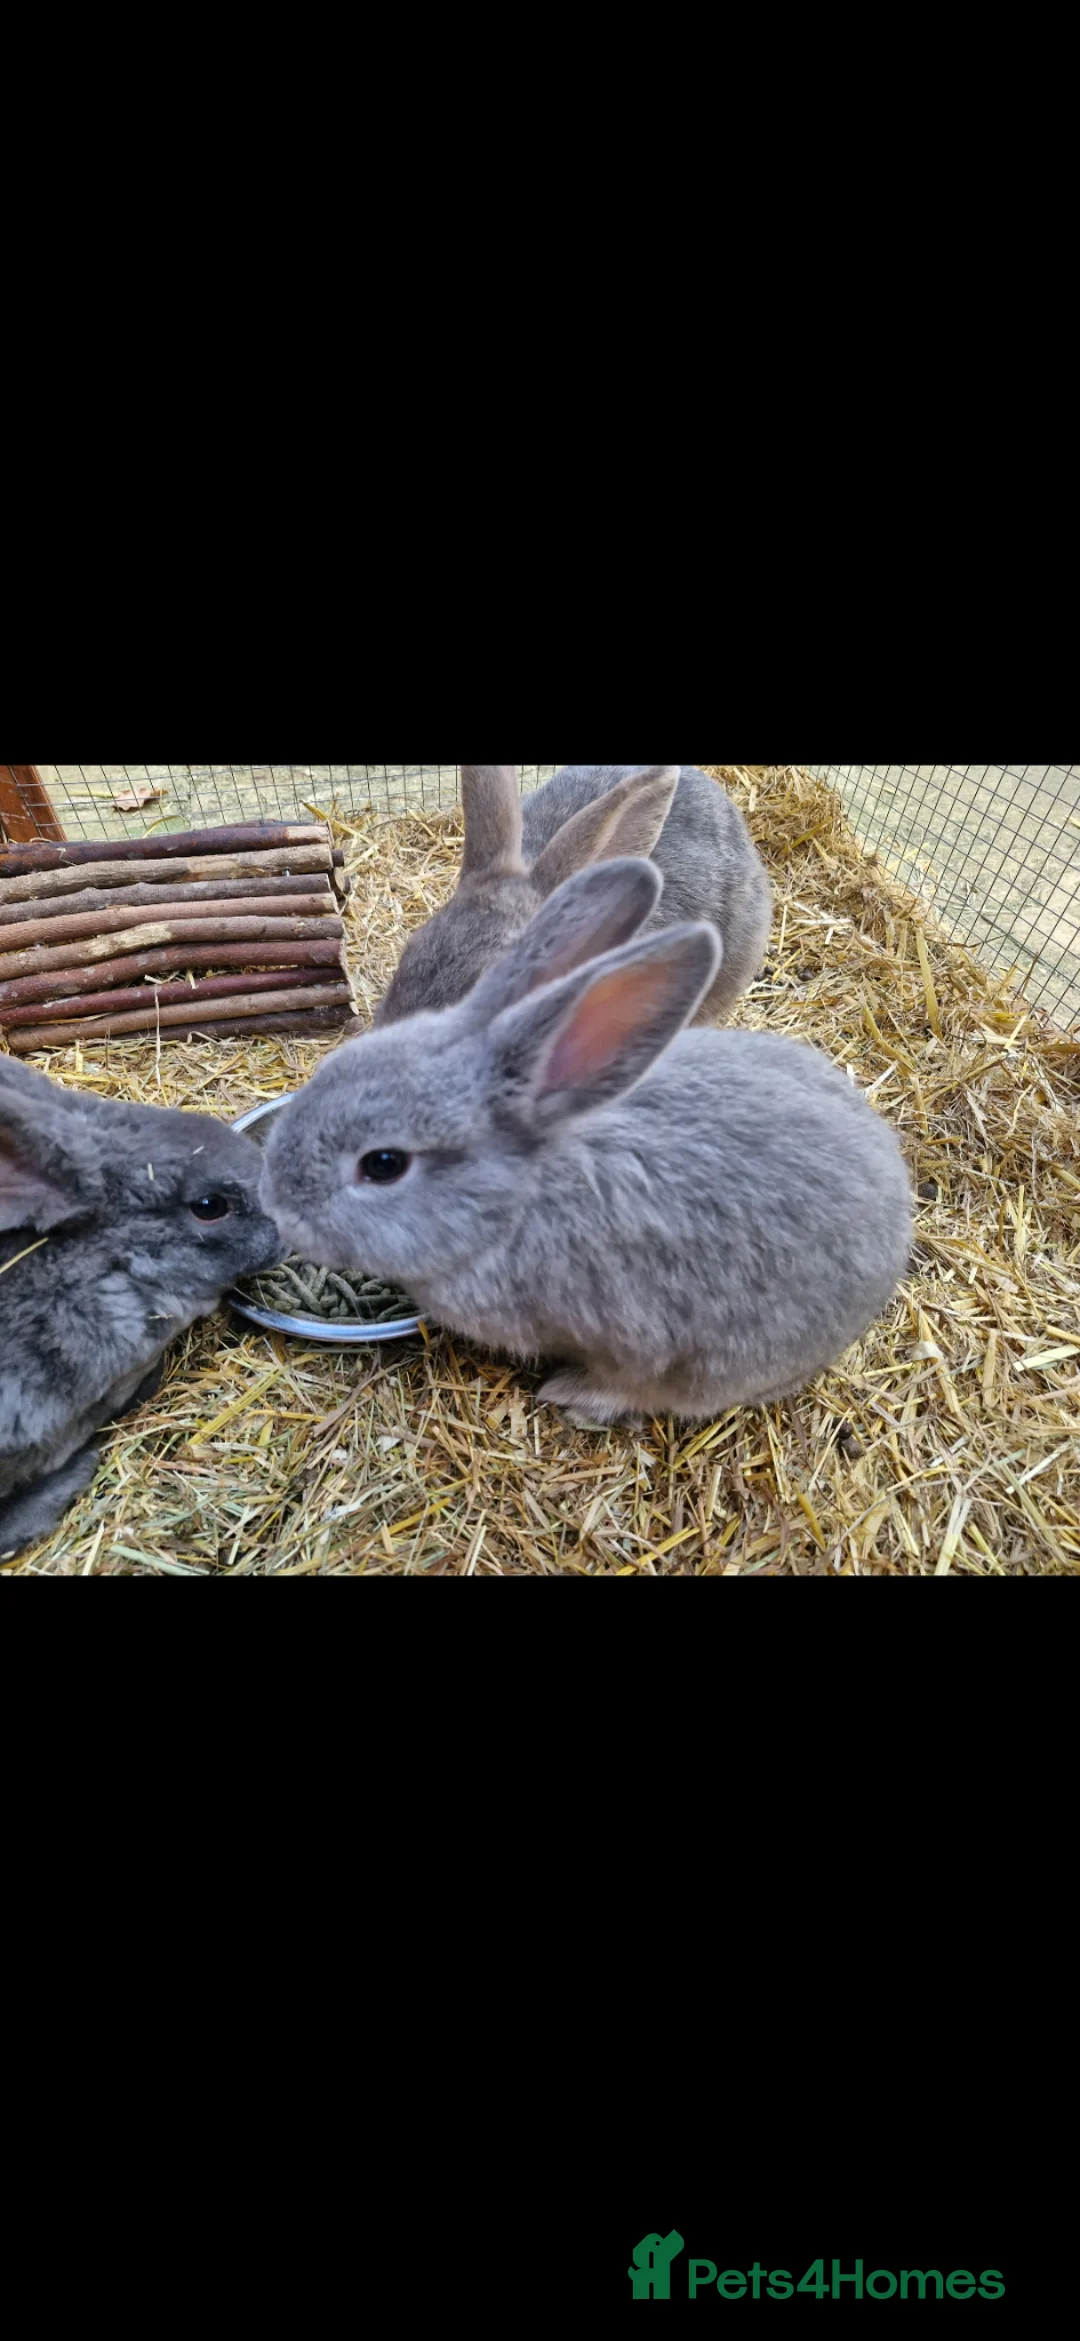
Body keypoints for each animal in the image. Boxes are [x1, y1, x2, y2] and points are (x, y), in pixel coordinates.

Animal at [262, 858, 912, 1430]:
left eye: (383, 1164)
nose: (275, 1204)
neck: (519, 1200)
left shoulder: (641, 1340)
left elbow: (630, 1377)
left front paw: (570, 1392)